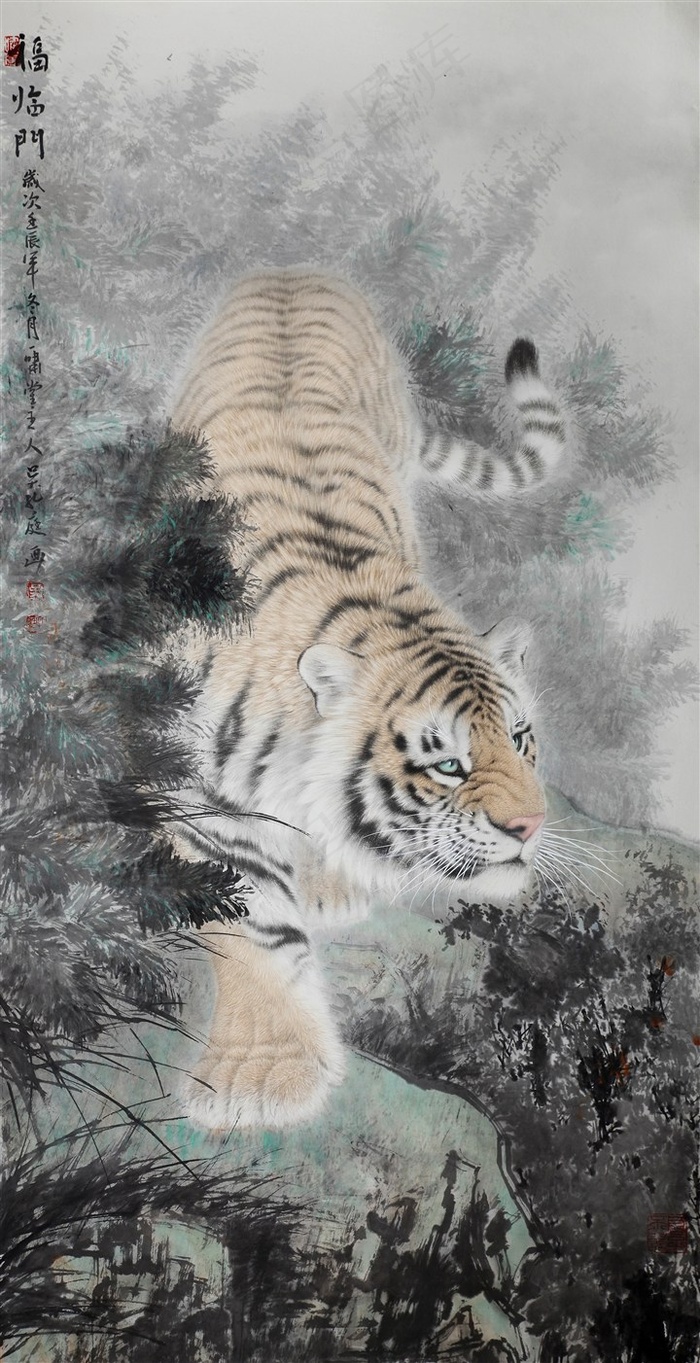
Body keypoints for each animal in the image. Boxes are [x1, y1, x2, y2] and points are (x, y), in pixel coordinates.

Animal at [170, 269, 565, 1130]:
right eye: (448, 764)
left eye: (523, 738)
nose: (529, 827)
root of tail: (293, 268)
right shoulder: (198, 794)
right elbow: (251, 923)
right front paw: (265, 1075)